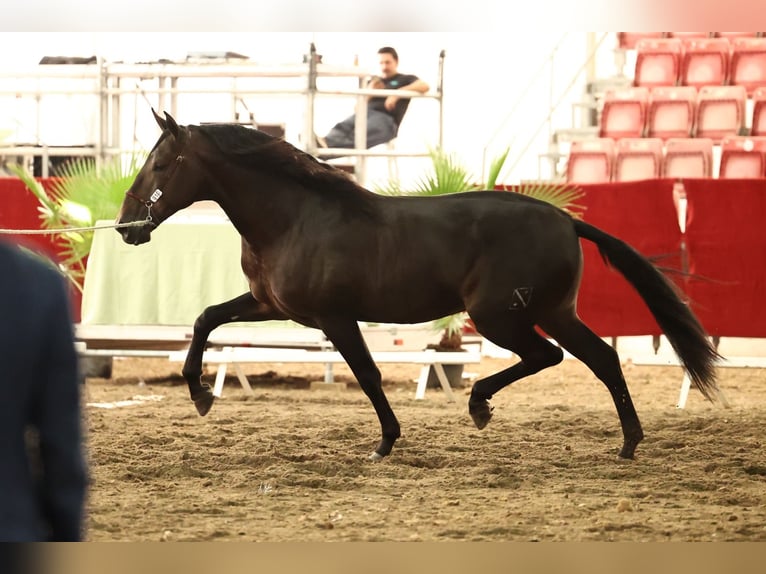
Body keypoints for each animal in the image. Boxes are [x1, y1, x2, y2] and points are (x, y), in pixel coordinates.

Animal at [117, 111, 724, 464]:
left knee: (548, 357)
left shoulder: (334, 318)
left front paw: (386, 441)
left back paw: (481, 405)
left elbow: (367, 374)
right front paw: (200, 394)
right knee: (600, 358)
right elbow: (206, 319)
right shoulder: (273, 306)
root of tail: (565, 219)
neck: (295, 217)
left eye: (163, 164)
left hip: (501, 316)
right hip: (554, 312)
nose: (126, 226)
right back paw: (627, 443)